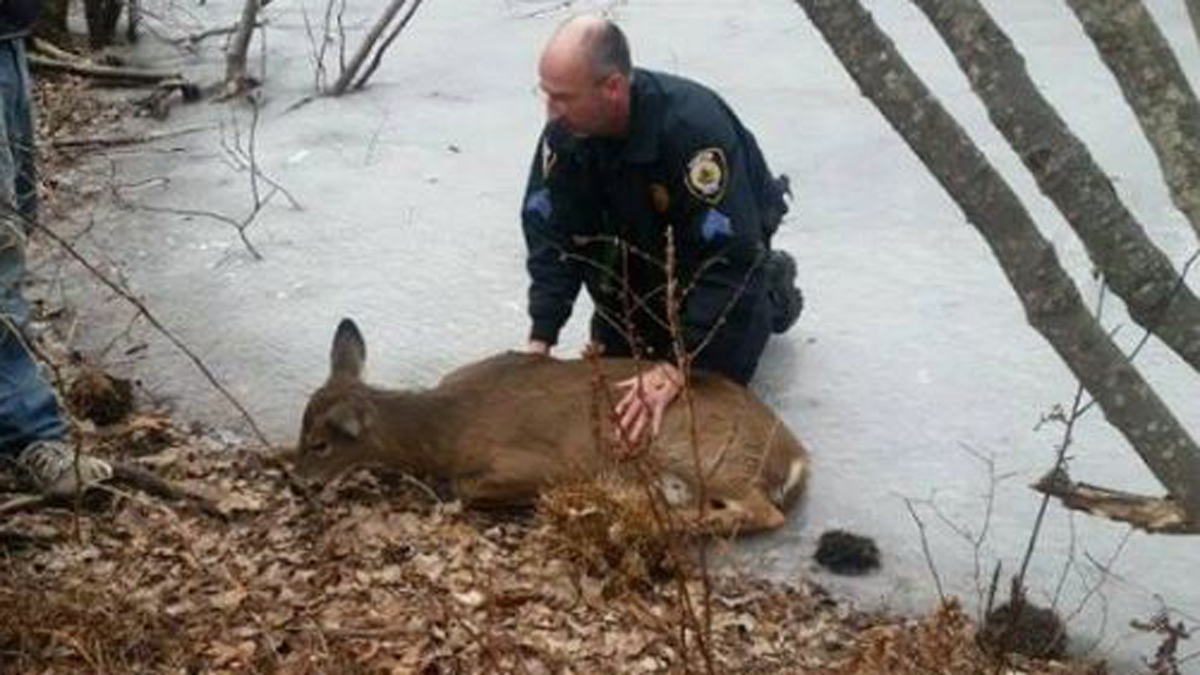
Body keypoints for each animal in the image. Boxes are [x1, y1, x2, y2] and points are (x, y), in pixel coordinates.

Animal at [294, 318, 809, 534]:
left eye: (320, 444)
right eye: (301, 429)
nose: (296, 481)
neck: (448, 428)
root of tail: (796, 456)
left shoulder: (542, 464)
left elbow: (466, 488)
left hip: (692, 447)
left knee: (764, 513)